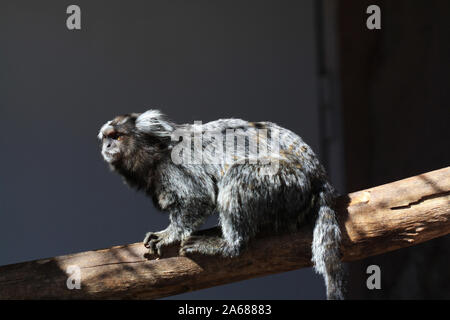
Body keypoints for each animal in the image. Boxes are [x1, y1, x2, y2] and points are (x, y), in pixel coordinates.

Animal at [98, 110, 344, 300]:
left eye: (117, 136)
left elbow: (198, 197)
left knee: (239, 172)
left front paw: (168, 234)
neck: (157, 151)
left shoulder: (177, 165)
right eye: (106, 138)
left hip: (287, 181)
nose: (107, 145)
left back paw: (229, 244)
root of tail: (318, 174)